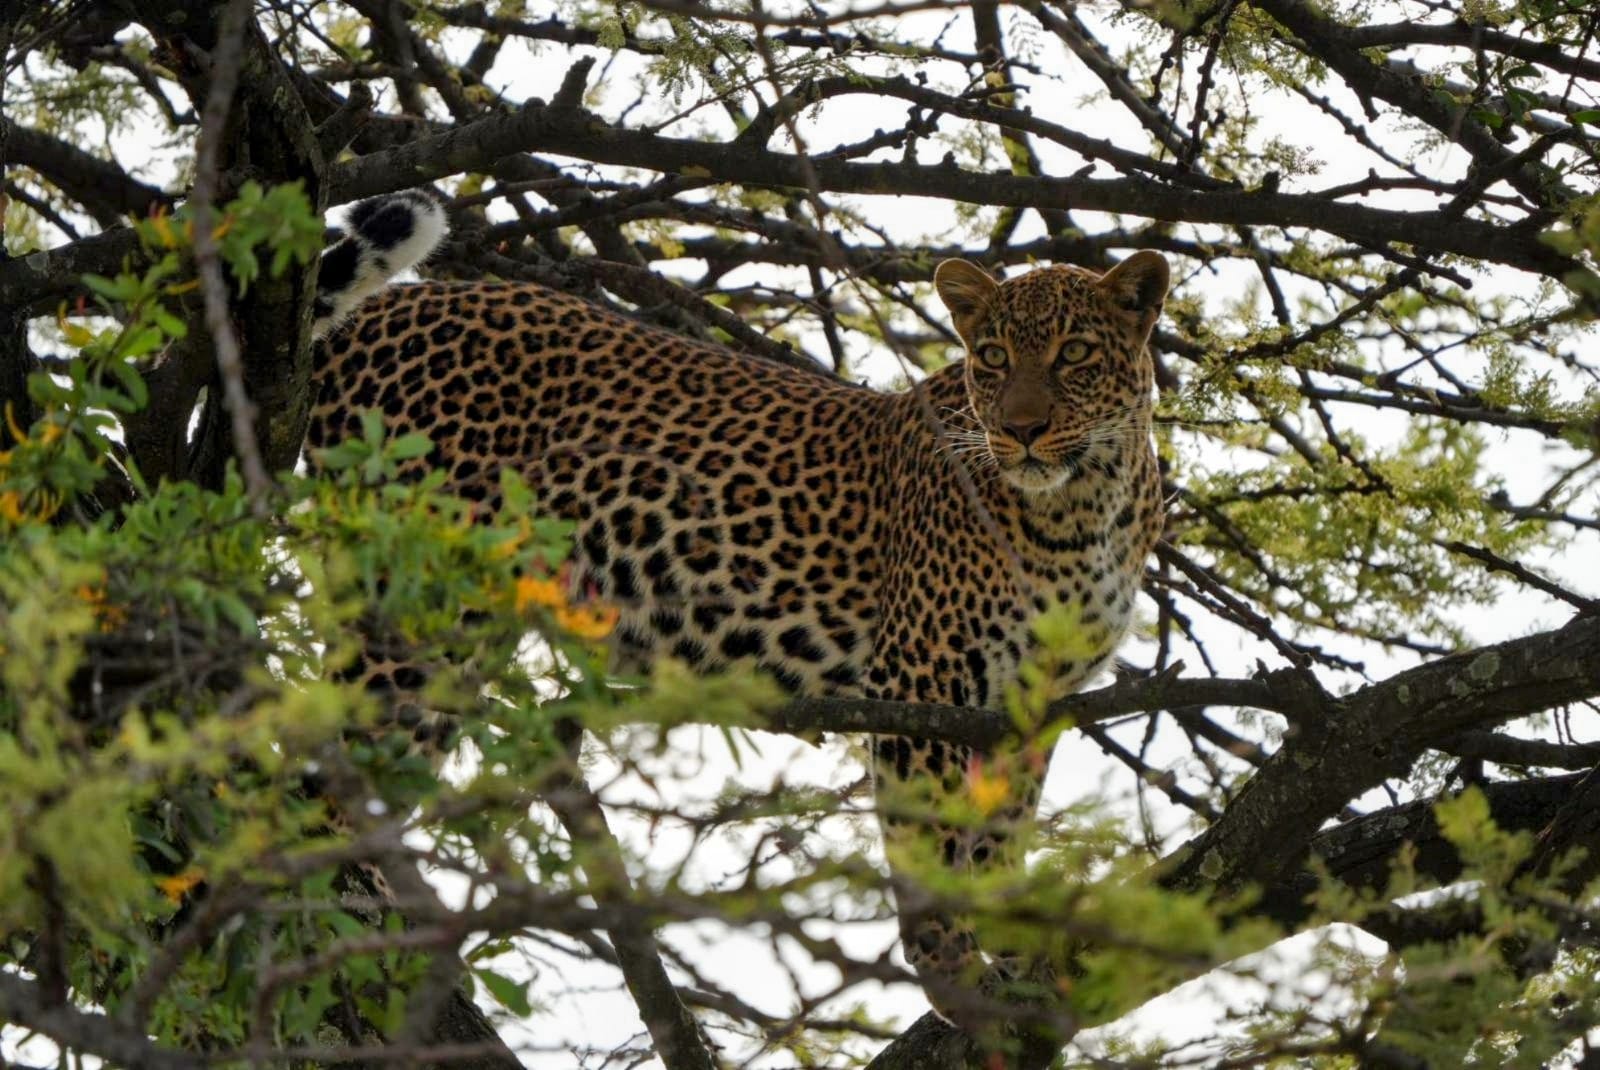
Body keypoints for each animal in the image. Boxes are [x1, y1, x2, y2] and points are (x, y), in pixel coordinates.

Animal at [308, 192, 1169, 1028]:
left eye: (1075, 355)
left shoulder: (1027, 703)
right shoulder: (921, 678)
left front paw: (1018, 943)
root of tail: (393, 307)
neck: (1087, 506)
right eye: (992, 358)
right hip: (415, 598)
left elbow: (1000, 838)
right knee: (326, 774)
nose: (1021, 430)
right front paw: (953, 974)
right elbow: (927, 849)